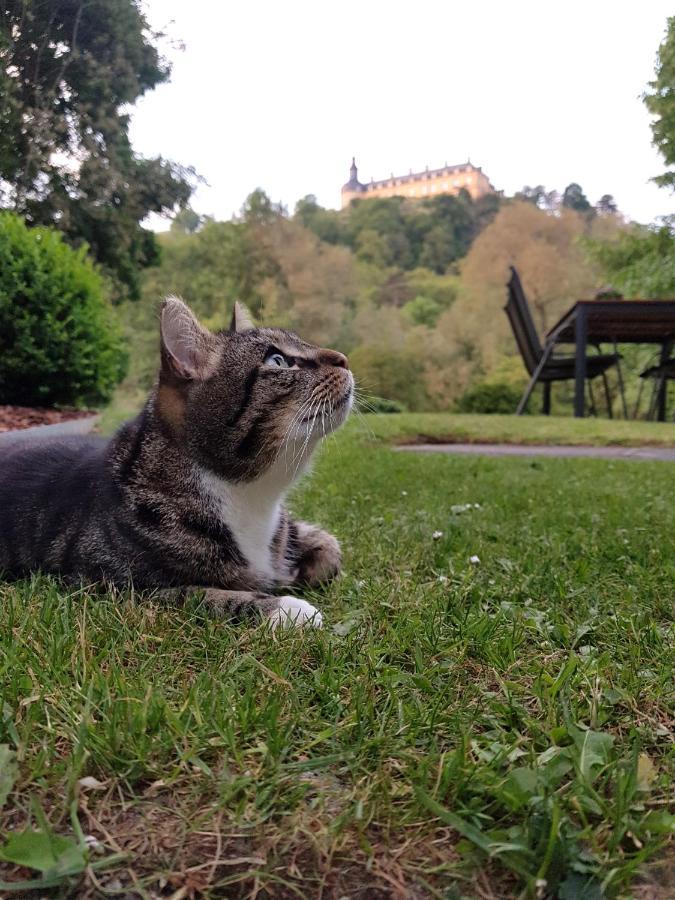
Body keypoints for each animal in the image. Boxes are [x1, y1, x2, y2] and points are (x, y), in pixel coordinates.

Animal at [0, 298, 356, 628]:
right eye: (278, 360)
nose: (344, 358)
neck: (250, 496)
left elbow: (329, 545)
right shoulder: (113, 586)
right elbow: (202, 595)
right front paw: (289, 608)